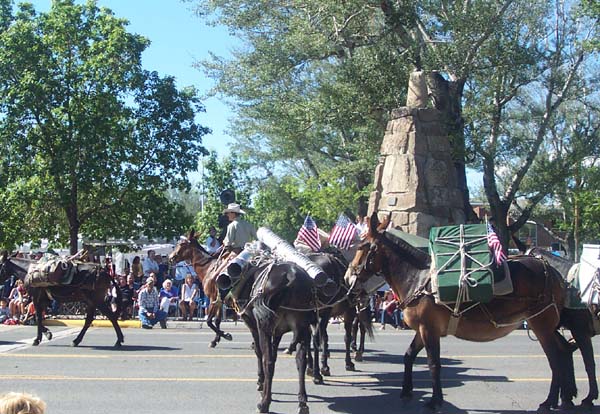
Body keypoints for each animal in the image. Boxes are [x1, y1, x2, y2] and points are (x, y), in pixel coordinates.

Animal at [346, 213, 576, 410]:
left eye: (362, 246)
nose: (348, 277)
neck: (417, 278)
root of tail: (553, 272)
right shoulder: (422, 330)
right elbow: (409, 356)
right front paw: (406, 391)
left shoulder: (429, 329)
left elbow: (433, 364)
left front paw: (435, 400)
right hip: (547, 325)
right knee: (564, 351)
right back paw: (565, 398)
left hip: (541, 324)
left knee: (555, 358)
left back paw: (549, 400)